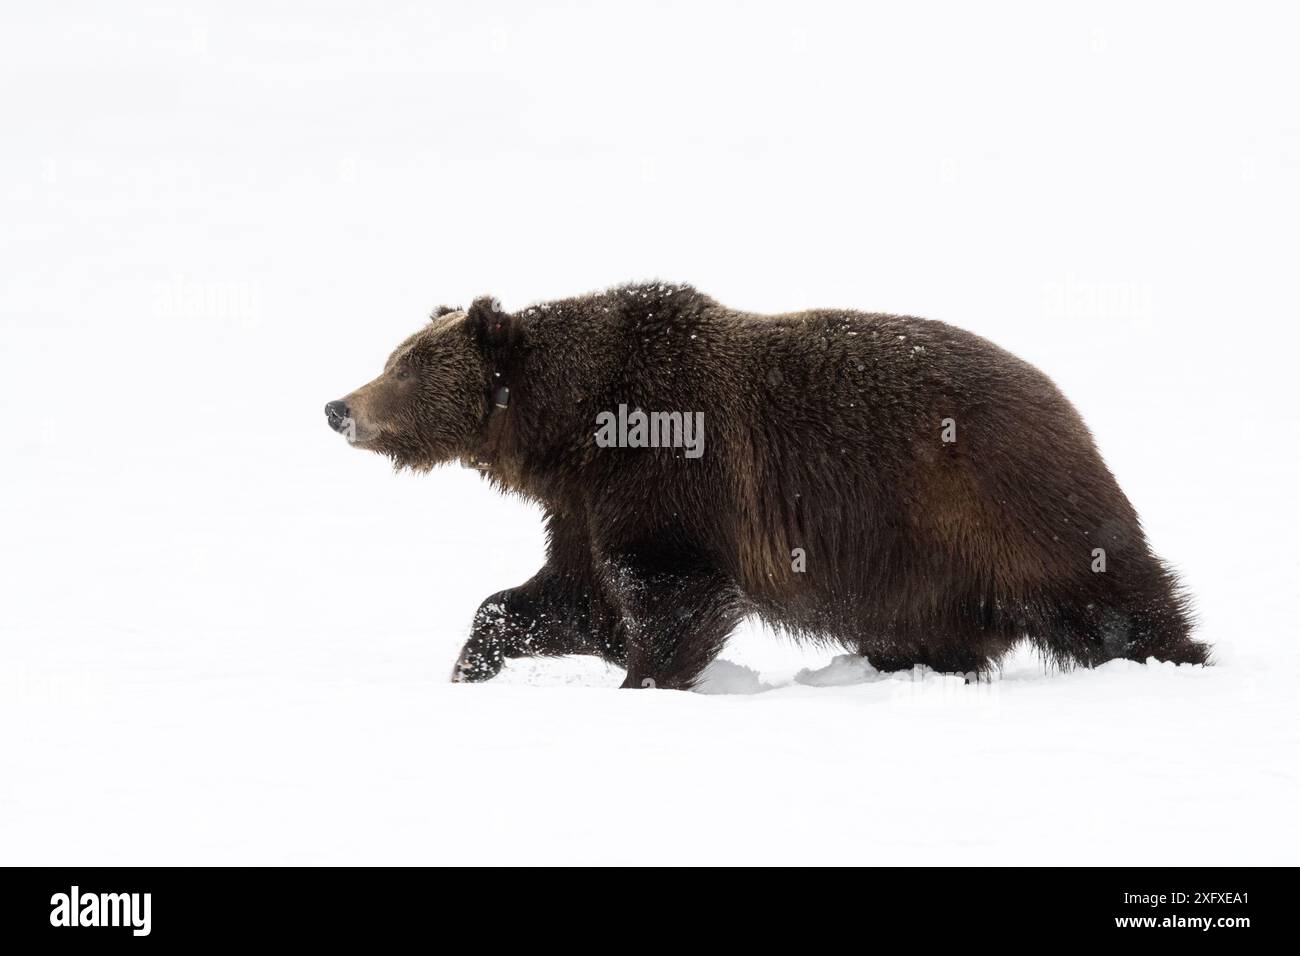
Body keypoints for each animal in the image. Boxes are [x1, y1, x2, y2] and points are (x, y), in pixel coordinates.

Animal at [327, 282, 1206, 686]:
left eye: (406, 366)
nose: (339, 407)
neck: (572, 430)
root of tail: (1064, 401)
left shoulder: (669, 475)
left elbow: (671, 586)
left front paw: (644, 677)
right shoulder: (581, 505)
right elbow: (564, 594)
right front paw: (475, 661)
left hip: (998, 503)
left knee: (1107, 594)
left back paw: (1173, 655)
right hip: (927, 569)